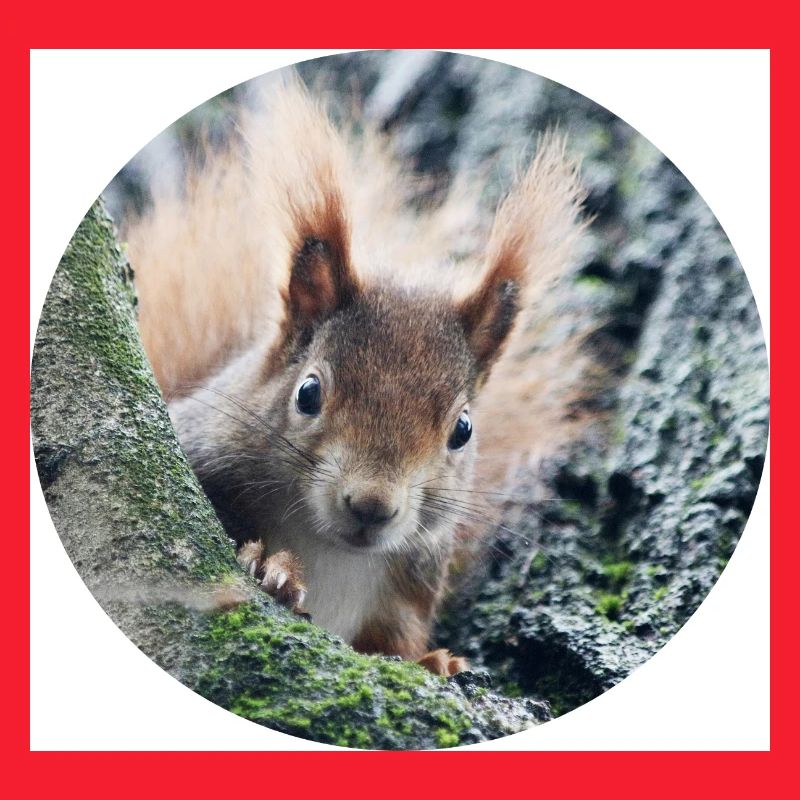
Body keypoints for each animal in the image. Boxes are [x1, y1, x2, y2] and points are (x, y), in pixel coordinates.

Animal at [123, 76, 585, 676]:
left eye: (463, 430)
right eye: (308, 393)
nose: (372, 506)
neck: (332, 552)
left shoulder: (406, 592)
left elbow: (397, 643)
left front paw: (435, 662)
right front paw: (273, 567)